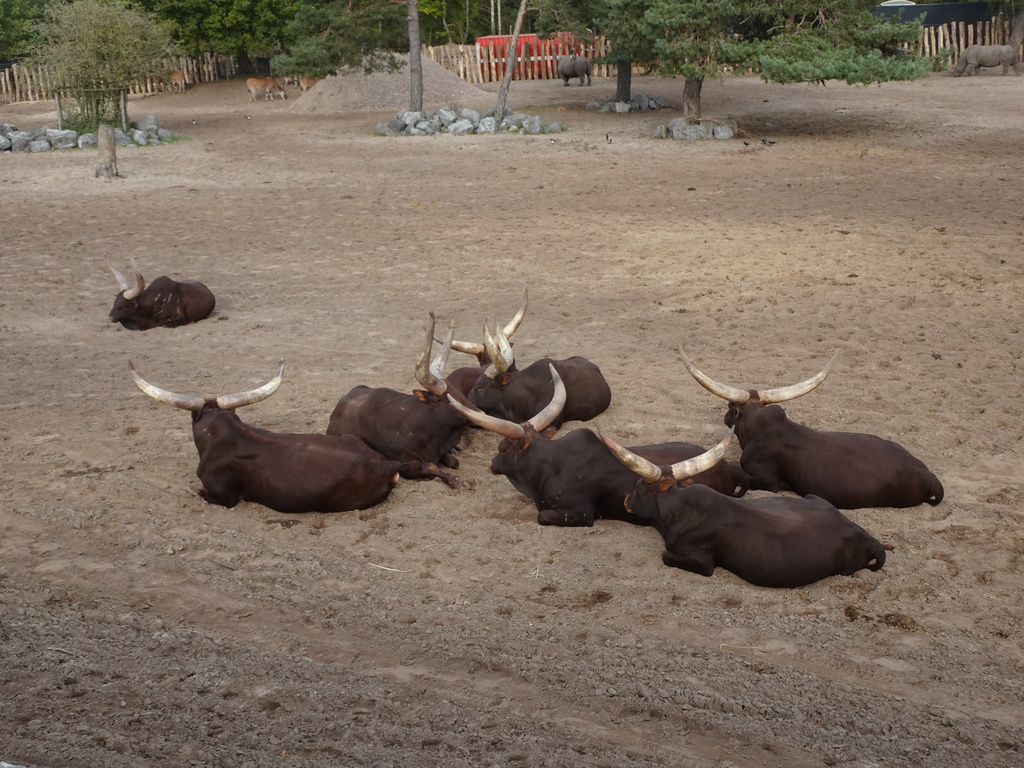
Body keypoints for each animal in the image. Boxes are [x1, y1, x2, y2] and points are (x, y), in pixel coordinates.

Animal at [327, 313, 471, 487]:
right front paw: (457, 481)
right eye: (448, 401)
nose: (479, 412)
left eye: (458, 393)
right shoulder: (404, 464)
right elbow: (430, 467)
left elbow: (453, 461)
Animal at [444, 368, 749, 528]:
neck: (550, 465)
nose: (491, 463)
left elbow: (542, 516)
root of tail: (729, 467)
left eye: (505, 446)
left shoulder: (578, 513)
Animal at [598, 434, 888, 589]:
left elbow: (666, 556)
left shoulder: (702, 562)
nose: (626, 500)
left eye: (639, 487)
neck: (677, 509)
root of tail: (868, 539)